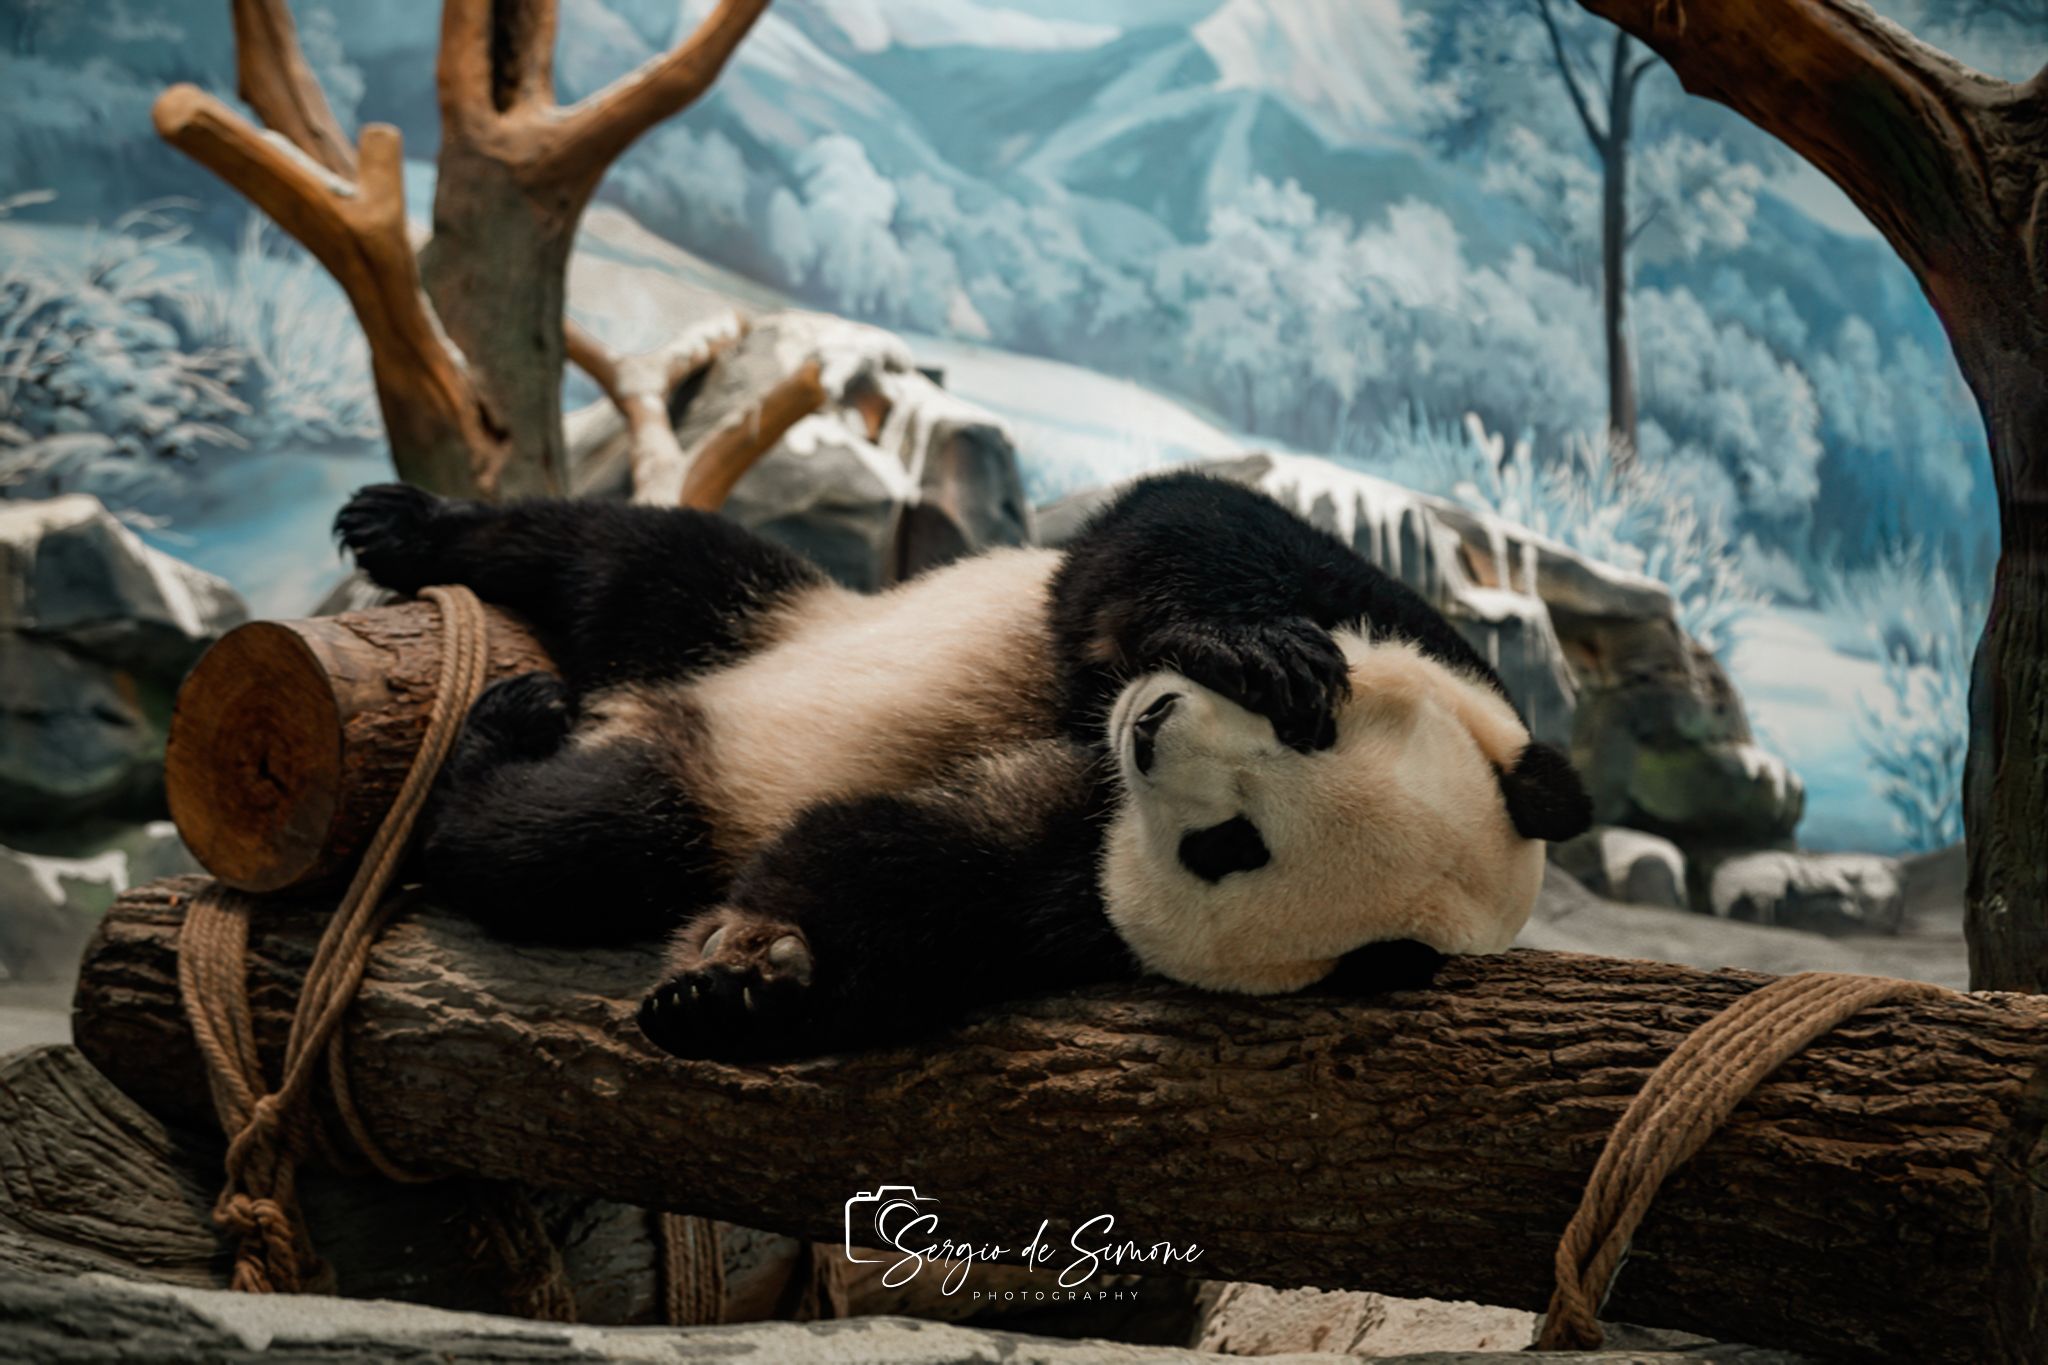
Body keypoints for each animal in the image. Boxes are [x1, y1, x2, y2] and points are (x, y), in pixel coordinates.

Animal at [334, 472, 1591, 1062]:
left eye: (1226, 848)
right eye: (1306, 732)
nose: (1151, 725)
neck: (1097, 762)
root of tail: (640, 704)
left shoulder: (1076, 900)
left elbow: (917, 887)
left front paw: (744, 983)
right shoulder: (1388, 607)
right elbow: (1166, 530)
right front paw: (1245, 647)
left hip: (676, 782)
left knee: (566, 844)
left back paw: (509, 743)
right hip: (771, 614)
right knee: (626, 554)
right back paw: (409, 530)